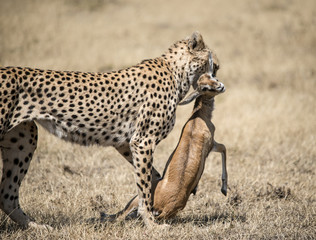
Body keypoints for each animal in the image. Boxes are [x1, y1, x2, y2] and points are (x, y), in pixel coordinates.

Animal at [0, 31, 215, 229]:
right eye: (211, 60)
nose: (216, 71)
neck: (176, 72)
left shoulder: (126, 143)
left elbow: (152, 178)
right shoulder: (143, 141)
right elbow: (145, 186)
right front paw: (151, 223)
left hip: (24, 138)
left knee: (7, 194)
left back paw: (35, 226)